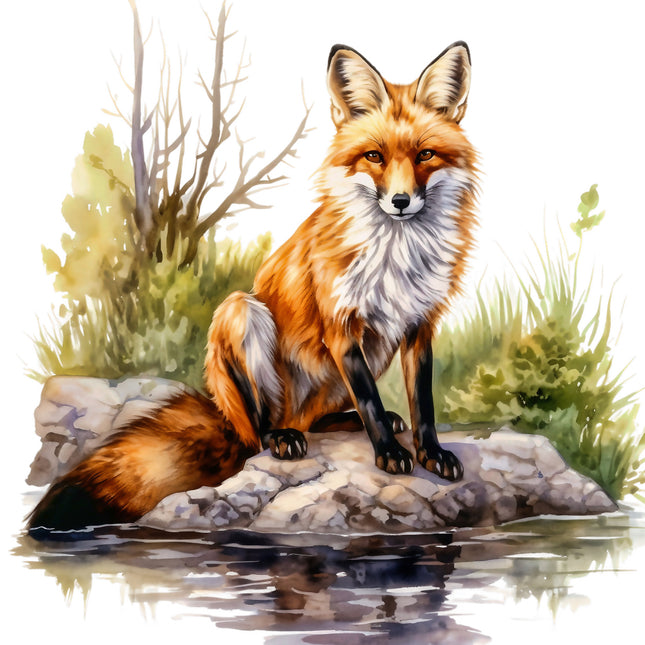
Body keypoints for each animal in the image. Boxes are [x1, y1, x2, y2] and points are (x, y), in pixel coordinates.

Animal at [27, 41, 478, 534]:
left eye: (426, 155)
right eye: (374, 156)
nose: (400, 202)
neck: (398, 254)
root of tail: (224, 413)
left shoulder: (419, 324)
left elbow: (422, 404)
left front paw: (430, 453)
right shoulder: (340, 326)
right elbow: (371, 404)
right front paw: (390, 454)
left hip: (365, 352)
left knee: (317, 419)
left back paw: (335, 423)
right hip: (240, 311)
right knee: (259, 433)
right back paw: (281, 436)